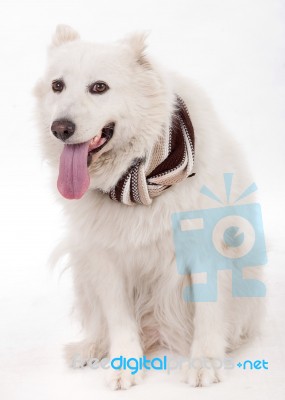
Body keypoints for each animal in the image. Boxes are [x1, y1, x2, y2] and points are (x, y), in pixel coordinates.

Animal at [33, 24, 264, 388]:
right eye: (57, 85)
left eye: (99, 87)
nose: (60, 128)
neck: (137, 176)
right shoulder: (104, 258)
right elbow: (119, 319)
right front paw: (125, 364)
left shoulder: (205, 249)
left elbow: (209, 313)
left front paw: (203, 362)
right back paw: (91, 347)